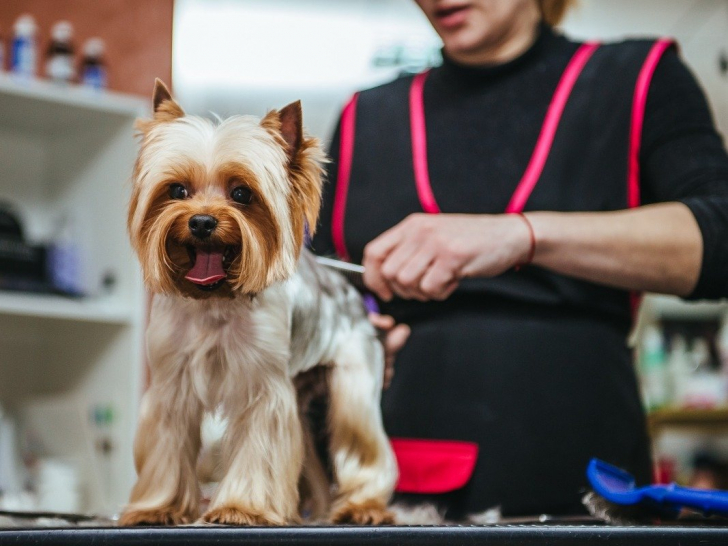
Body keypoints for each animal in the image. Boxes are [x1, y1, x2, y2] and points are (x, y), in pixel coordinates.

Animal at [118, 79, 398, 524]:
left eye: (241, 193)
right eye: (177, 190)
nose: (201, 222)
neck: (216, 298)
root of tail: (350, 290)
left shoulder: (264, 389)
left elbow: (259, 448)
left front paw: (240, 508)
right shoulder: (170, 383)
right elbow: (167, 447)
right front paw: (158, 507)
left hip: (353, 381)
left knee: (362, 442)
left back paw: (363, 506)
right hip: (299, 394)